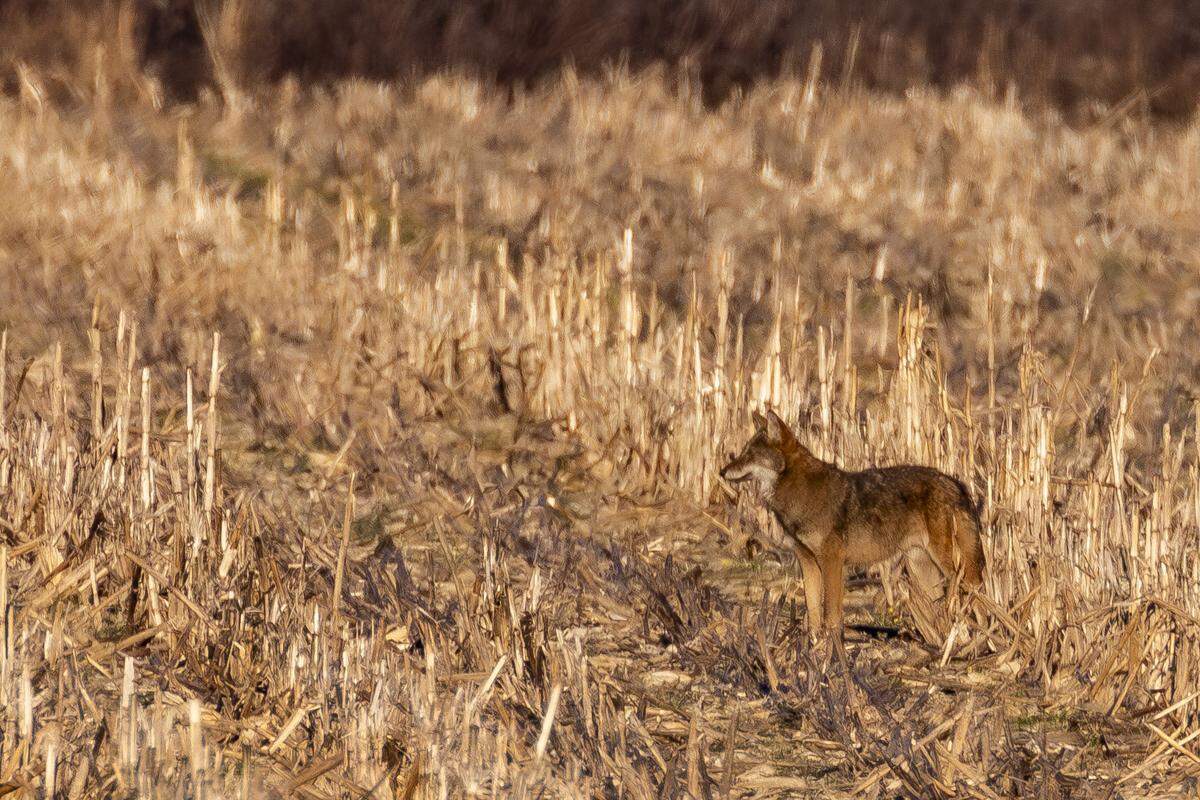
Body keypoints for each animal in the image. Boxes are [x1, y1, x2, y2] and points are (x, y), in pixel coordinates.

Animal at [720, 409, 984, 637]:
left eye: (750, 455)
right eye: (743, 452)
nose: (722, 472)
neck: (800, 492)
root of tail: (956, 483)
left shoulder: (832, 561)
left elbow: (831, 616)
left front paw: (830, 651)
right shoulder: (807, 561)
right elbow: (813, 613)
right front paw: (812, 648)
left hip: (953, 567)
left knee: (976, 594)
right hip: (922, 571)